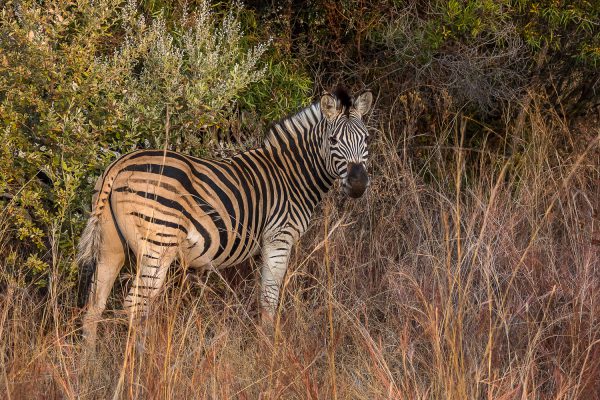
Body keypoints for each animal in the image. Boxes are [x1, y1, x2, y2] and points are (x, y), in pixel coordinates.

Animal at [77, 87, 373, 347]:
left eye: (367, 140)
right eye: (333, 141)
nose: (359, 184)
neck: (290, 175)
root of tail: (118, 165)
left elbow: (262, 297)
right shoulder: (279, 238)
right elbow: (269, 301)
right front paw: (269, 351)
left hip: (111, 245)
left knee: (94, 306)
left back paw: (89, 363)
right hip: (158, 245)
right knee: (135, 307)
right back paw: (142, 361)